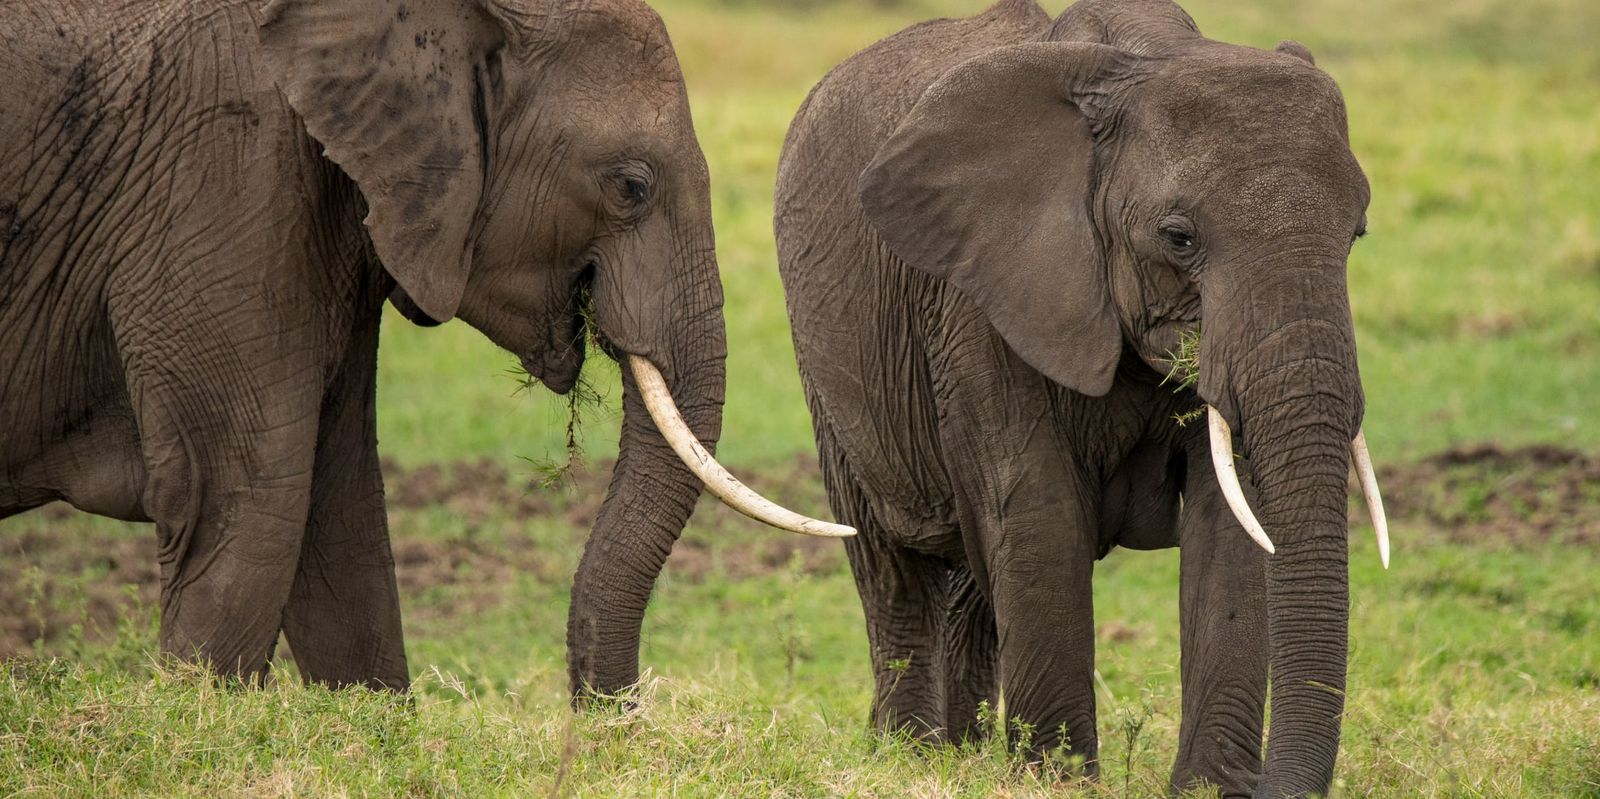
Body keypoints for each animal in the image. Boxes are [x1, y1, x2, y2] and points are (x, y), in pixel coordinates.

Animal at [775, 0, 1389, 795]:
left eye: (1357, 233)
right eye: (1178, 238)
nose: (1265, 784)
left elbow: (1234, 523)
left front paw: (1206, 790)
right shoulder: (981, 297)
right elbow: (1038, 507)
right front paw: (1056, 780)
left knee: (972, 582)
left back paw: (961, 756)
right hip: (832, 364)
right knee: (891, 564)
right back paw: (910, 757)